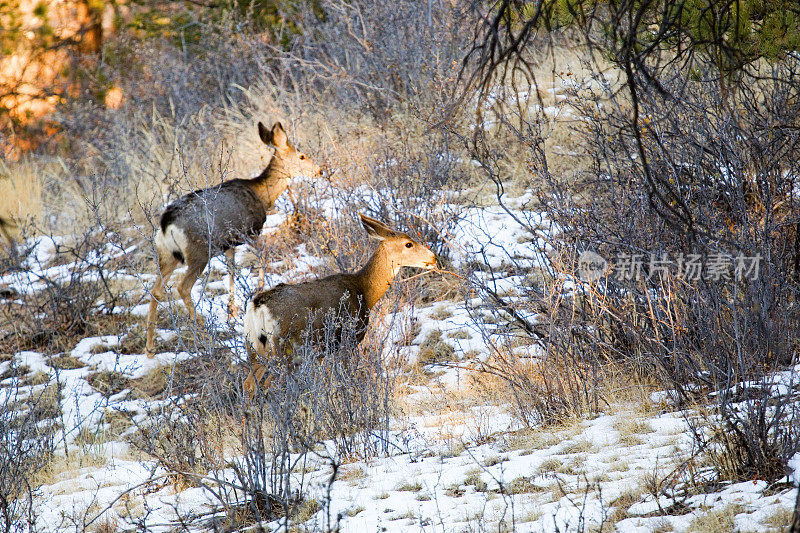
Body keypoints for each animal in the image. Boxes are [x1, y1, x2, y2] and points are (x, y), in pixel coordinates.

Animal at [145, 119, 324, 356]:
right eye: (302, 156)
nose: (320, 170)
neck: (262, 195)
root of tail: (166, 223)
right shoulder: (250, 231)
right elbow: (262, 258)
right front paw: (258, 289)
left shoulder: (228, 244)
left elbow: (231, 270)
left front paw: (231, 312)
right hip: (198, 251)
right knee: (183, 287)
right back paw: (204, 333)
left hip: (168, 254)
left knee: (156, 290)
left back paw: (150, 347)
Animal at [242, 214, 438, 396]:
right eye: (408, 244)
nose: (433, 258)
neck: (365, 291)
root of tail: (258, 305)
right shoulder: (348, 338)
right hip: (287, 346)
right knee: (272, 383)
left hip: (254, 347)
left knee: (249, 384)